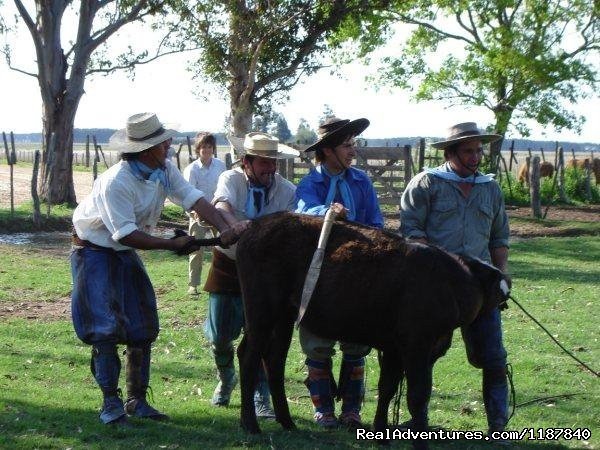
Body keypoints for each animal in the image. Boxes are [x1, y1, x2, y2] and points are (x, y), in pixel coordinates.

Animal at [233, 213, 506, 448]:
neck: (452, 283)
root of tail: (258, 224)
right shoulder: (417, 345)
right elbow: (417, 396)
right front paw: (419, 443)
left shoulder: (399, 349)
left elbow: (388, 388)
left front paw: (381, 433)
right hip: (262, 312)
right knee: (249, 358)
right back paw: (250, 424)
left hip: (284, 317)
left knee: (274, 360)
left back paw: (287, 421)